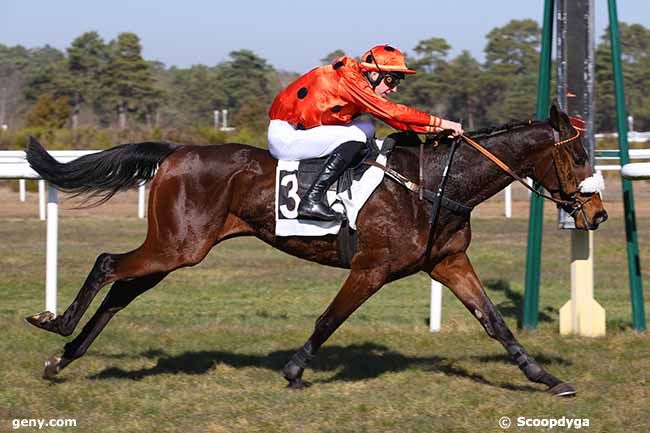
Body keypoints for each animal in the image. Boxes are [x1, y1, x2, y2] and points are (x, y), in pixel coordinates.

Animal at [24, 102, 604, 394]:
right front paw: (294, 370)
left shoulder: (448, 263)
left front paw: (546, 378)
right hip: (176, 246)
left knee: (122, 291)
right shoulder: (371, 268)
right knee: (107, 265)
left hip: (176, 249)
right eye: (578, 156)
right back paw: (55, 325)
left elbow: (495, 322)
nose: (597, 214)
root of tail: (175, 150)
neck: (434, 184)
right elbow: (329, 319)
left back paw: (63, 358)